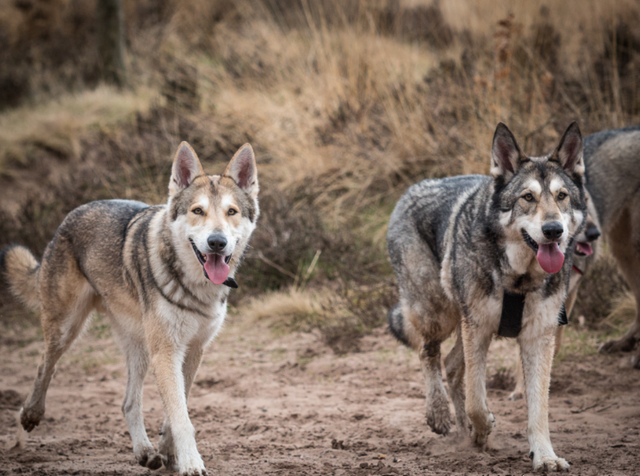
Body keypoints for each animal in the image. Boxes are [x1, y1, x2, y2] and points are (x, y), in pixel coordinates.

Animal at [1, 142, 260, 476]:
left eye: (231, 212)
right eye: (197, 211)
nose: (217, 242)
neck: (196, 287)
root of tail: (70, 215)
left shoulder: (193, 350)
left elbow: (176, 410)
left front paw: (169, 453)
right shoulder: (167, 351)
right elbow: (181, 417)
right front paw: (191, 463)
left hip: (139, 348)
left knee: (127, 402)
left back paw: (145, 452)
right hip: (67, 330)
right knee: (46, 365)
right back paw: (29, 417)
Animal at [388, 122, 588, 472]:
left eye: (561, 196)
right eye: (527, 198)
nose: (554, 230)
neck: (518, 278)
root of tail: (412, 188)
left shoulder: (539, 337)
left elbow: (538, 409)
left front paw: (545, 456)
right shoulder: (478, 330)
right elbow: (476, 401)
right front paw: (482, 427)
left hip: (461, 323)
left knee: (453, 367)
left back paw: (464, 432)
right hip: (439, 314)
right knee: (429, 355)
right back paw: (439, 414)